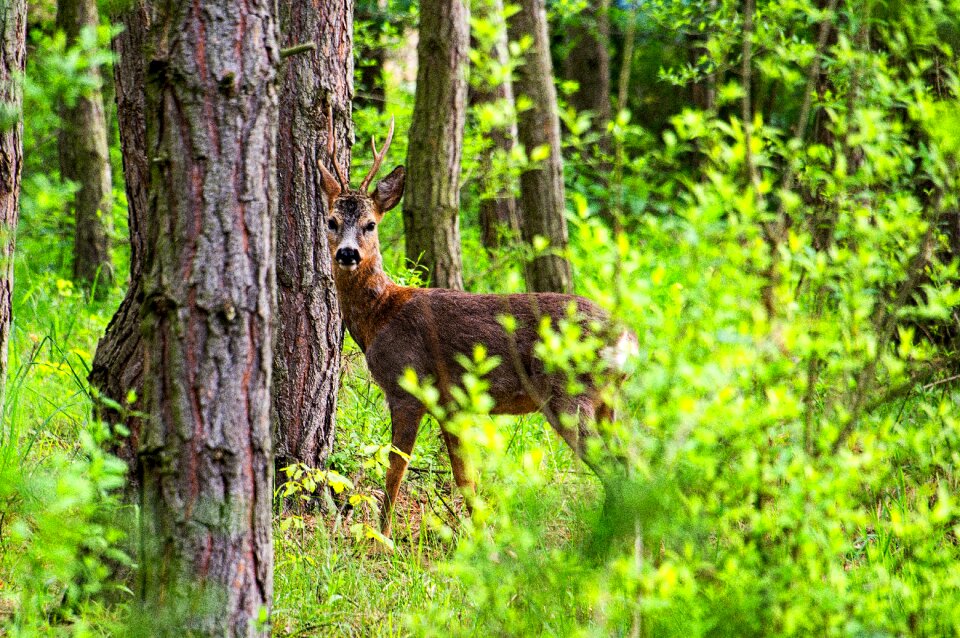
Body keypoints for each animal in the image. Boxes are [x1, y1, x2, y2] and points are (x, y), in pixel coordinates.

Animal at [318, 114, 636, 536]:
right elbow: (466, 478)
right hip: (606, 401)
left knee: (617, 470)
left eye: (370, 224)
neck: (379, 316)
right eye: (332, 221)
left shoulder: (408, 388)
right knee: (635, 466)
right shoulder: (451, 405)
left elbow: (395, 469)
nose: (348, 254)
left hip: (570, 395)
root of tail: (628, 339)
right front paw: (482, 536)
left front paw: (381, 537)